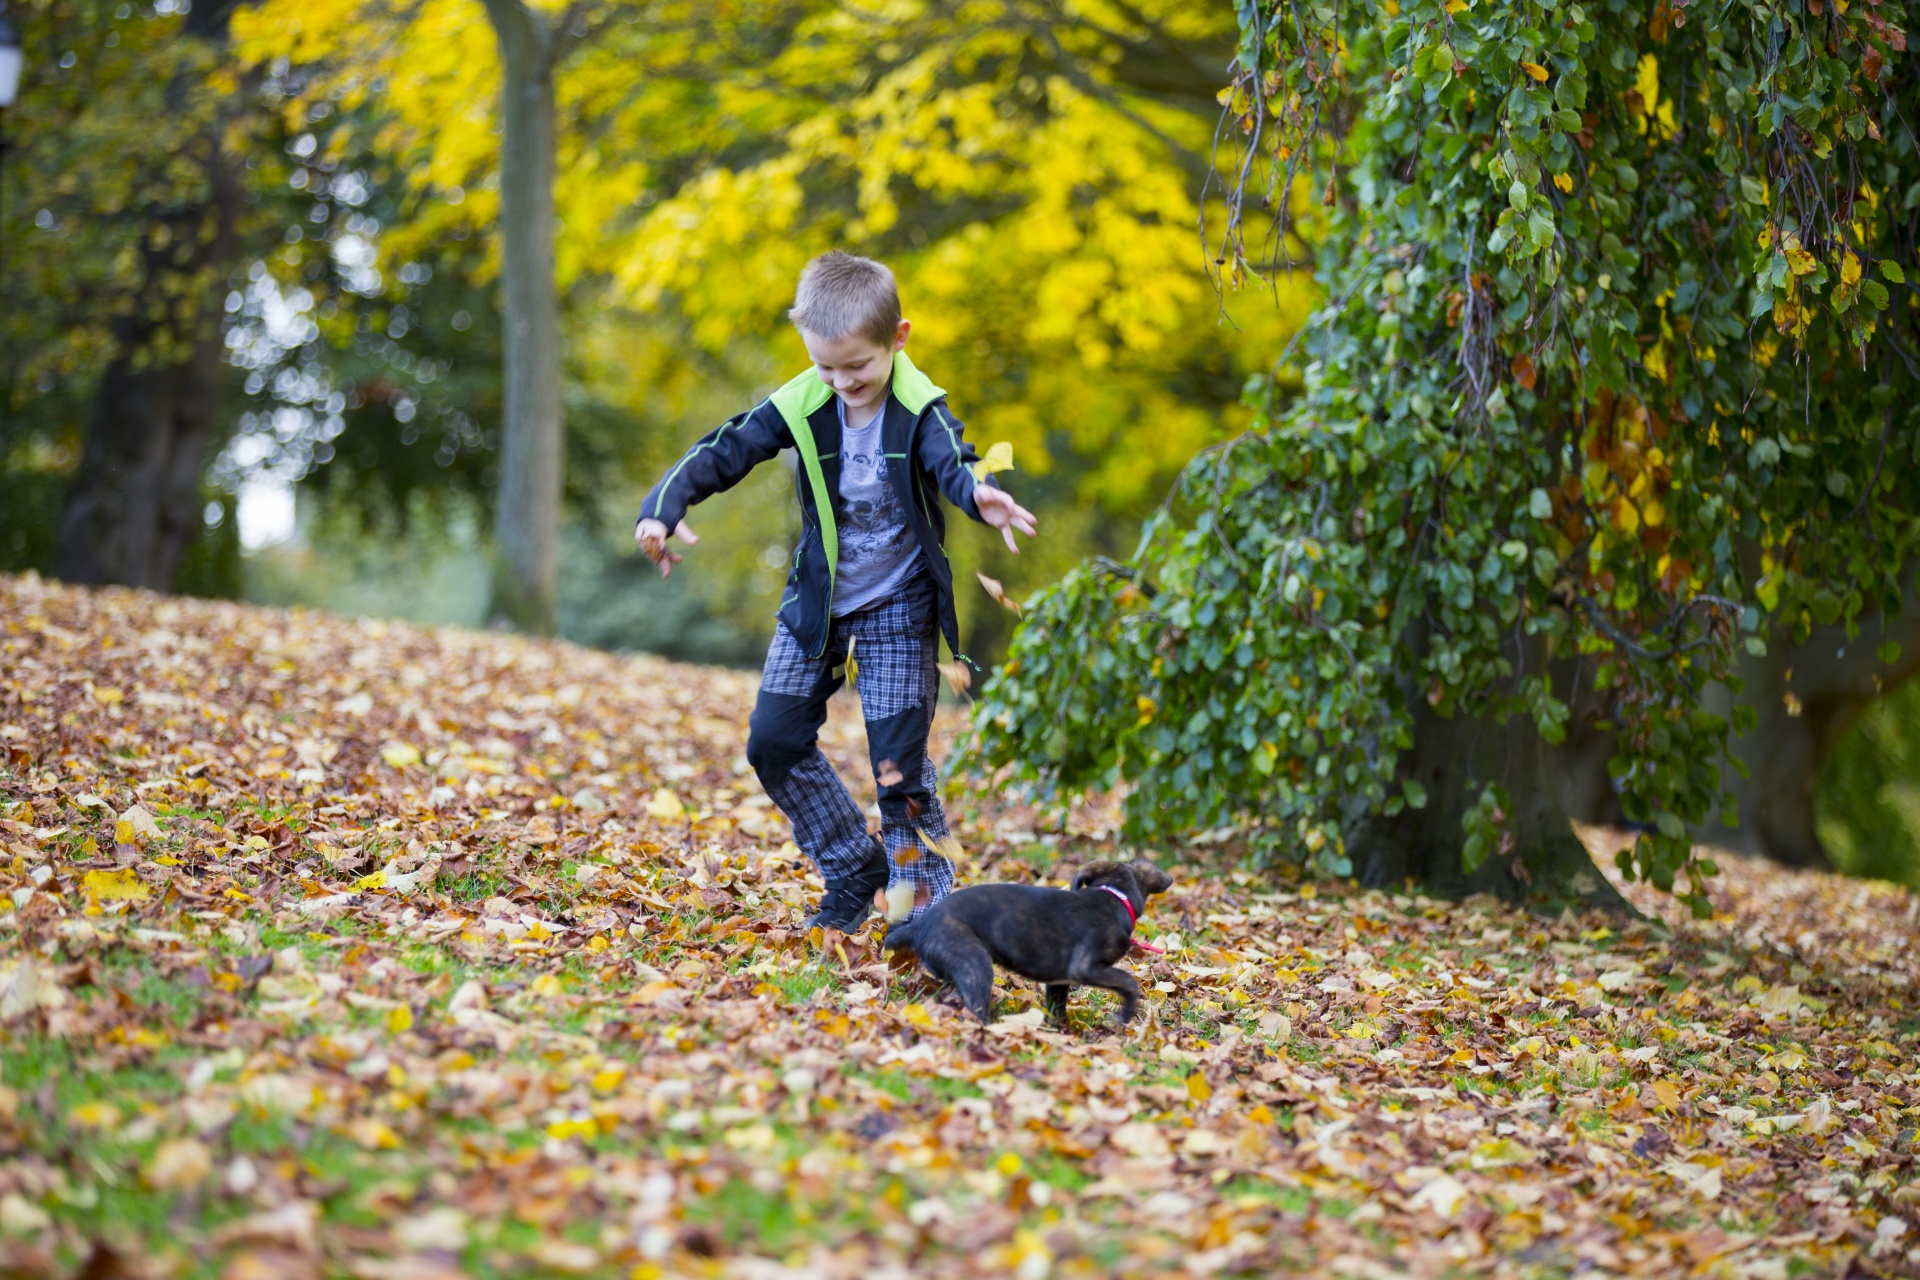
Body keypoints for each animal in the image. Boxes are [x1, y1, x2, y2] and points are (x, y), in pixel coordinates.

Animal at [879, 859, 1175, 1028]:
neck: (1115, 897)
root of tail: (920, 925)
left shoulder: (1058, 982)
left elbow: (1057, 1010)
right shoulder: (1085, 967)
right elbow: (1129, 983)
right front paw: (1124, 1019)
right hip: (975, 963)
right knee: (975, 1008)